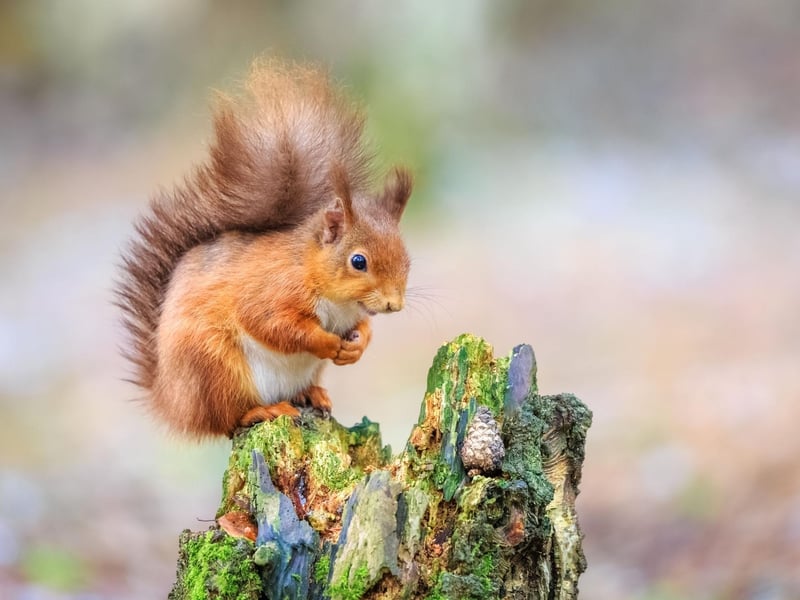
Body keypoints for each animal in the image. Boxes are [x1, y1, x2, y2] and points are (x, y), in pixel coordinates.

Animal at [116, 60, 413, 438]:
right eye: (358, 261)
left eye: (407, 259)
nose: (393, 304)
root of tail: (172, 401)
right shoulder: (272, 289)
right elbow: (273, 324)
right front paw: (328, 343)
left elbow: (363, 327)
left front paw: (357, 345)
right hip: (215, 368)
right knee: (226, 420)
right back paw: (263, 410)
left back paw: (310, 393)